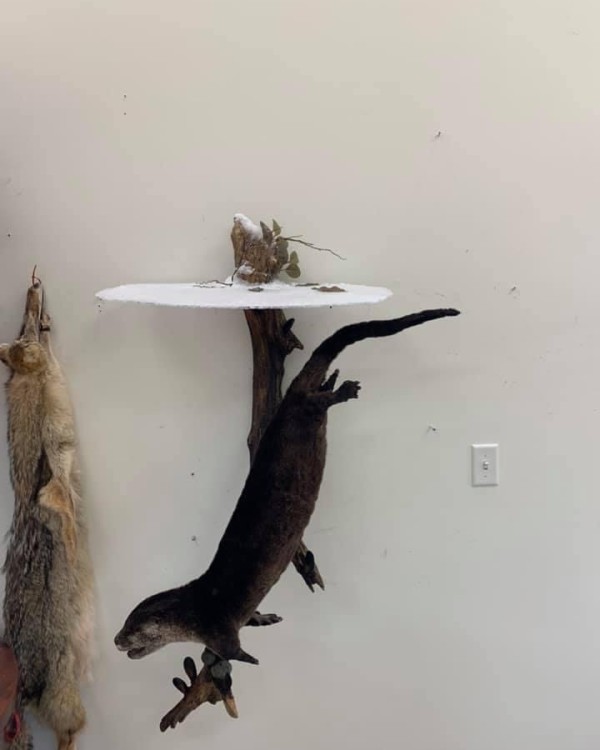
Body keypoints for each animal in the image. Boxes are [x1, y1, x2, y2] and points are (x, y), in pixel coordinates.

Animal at [115, 309, 459, 665]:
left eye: (132, 628)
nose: (115, 640)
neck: (195, 609)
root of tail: (287, 401)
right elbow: (252, 618)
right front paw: (265, 618)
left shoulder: (217, 628)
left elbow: (232, 649)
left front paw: (244, 658)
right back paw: (332, 381)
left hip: (301, 413)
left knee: (313, 403)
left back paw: (343, 390)